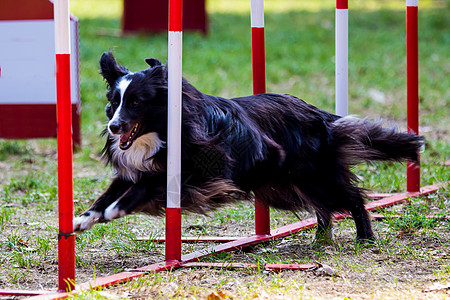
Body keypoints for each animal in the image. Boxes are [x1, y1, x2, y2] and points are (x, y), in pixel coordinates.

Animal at [73, 51, 422, 243]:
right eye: (113, 101)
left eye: (136, 102)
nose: (113, 127)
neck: (162, 130)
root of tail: (319, 115)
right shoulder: (135, 168)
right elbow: (110, 191)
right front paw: (83, 219)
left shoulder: (201, 171)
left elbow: (145, 186)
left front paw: (115, 210)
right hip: (288, 184)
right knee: (325, 206)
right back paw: (321, 238)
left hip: (309, 176)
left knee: (350, 197)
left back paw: (365, 237)